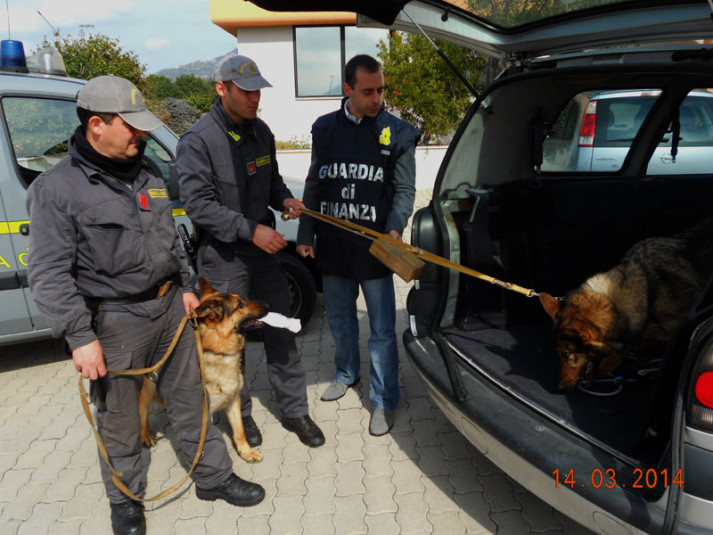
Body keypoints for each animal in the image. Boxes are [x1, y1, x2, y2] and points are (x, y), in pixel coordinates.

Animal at [138, 278, 268, 462]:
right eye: (240, 304)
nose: (267, 304)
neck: (217, 351)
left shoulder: (233, 400)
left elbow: (239, 431)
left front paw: (246, 452)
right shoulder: (205, 414)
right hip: (148, 386)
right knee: (142, 410)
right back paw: (146, 435)